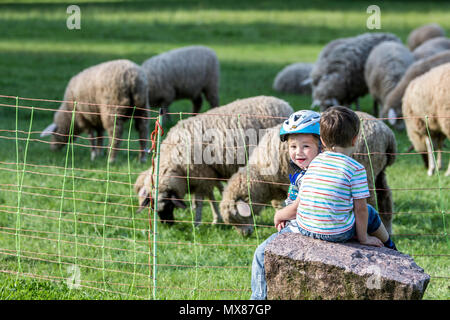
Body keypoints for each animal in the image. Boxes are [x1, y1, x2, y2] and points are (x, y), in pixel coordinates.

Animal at [135, 95, 294, 225]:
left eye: (168, 205)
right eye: (152, 207)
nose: (167, 224)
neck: (175, 158)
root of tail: (284, 103)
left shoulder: (201, 175)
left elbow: (200, 201)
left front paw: (197, 223)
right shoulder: (208, 174)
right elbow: (212, 196)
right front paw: (216, 218)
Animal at [221, 111, 398, 236]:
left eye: (238, 217)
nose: (245, 235)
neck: (260, 176)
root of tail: (388, 134)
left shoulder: (284, 183)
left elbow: (282, 205)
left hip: (367, 169)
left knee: (371, 201)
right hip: (380, 171)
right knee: (385, 198)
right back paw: (388, 228)